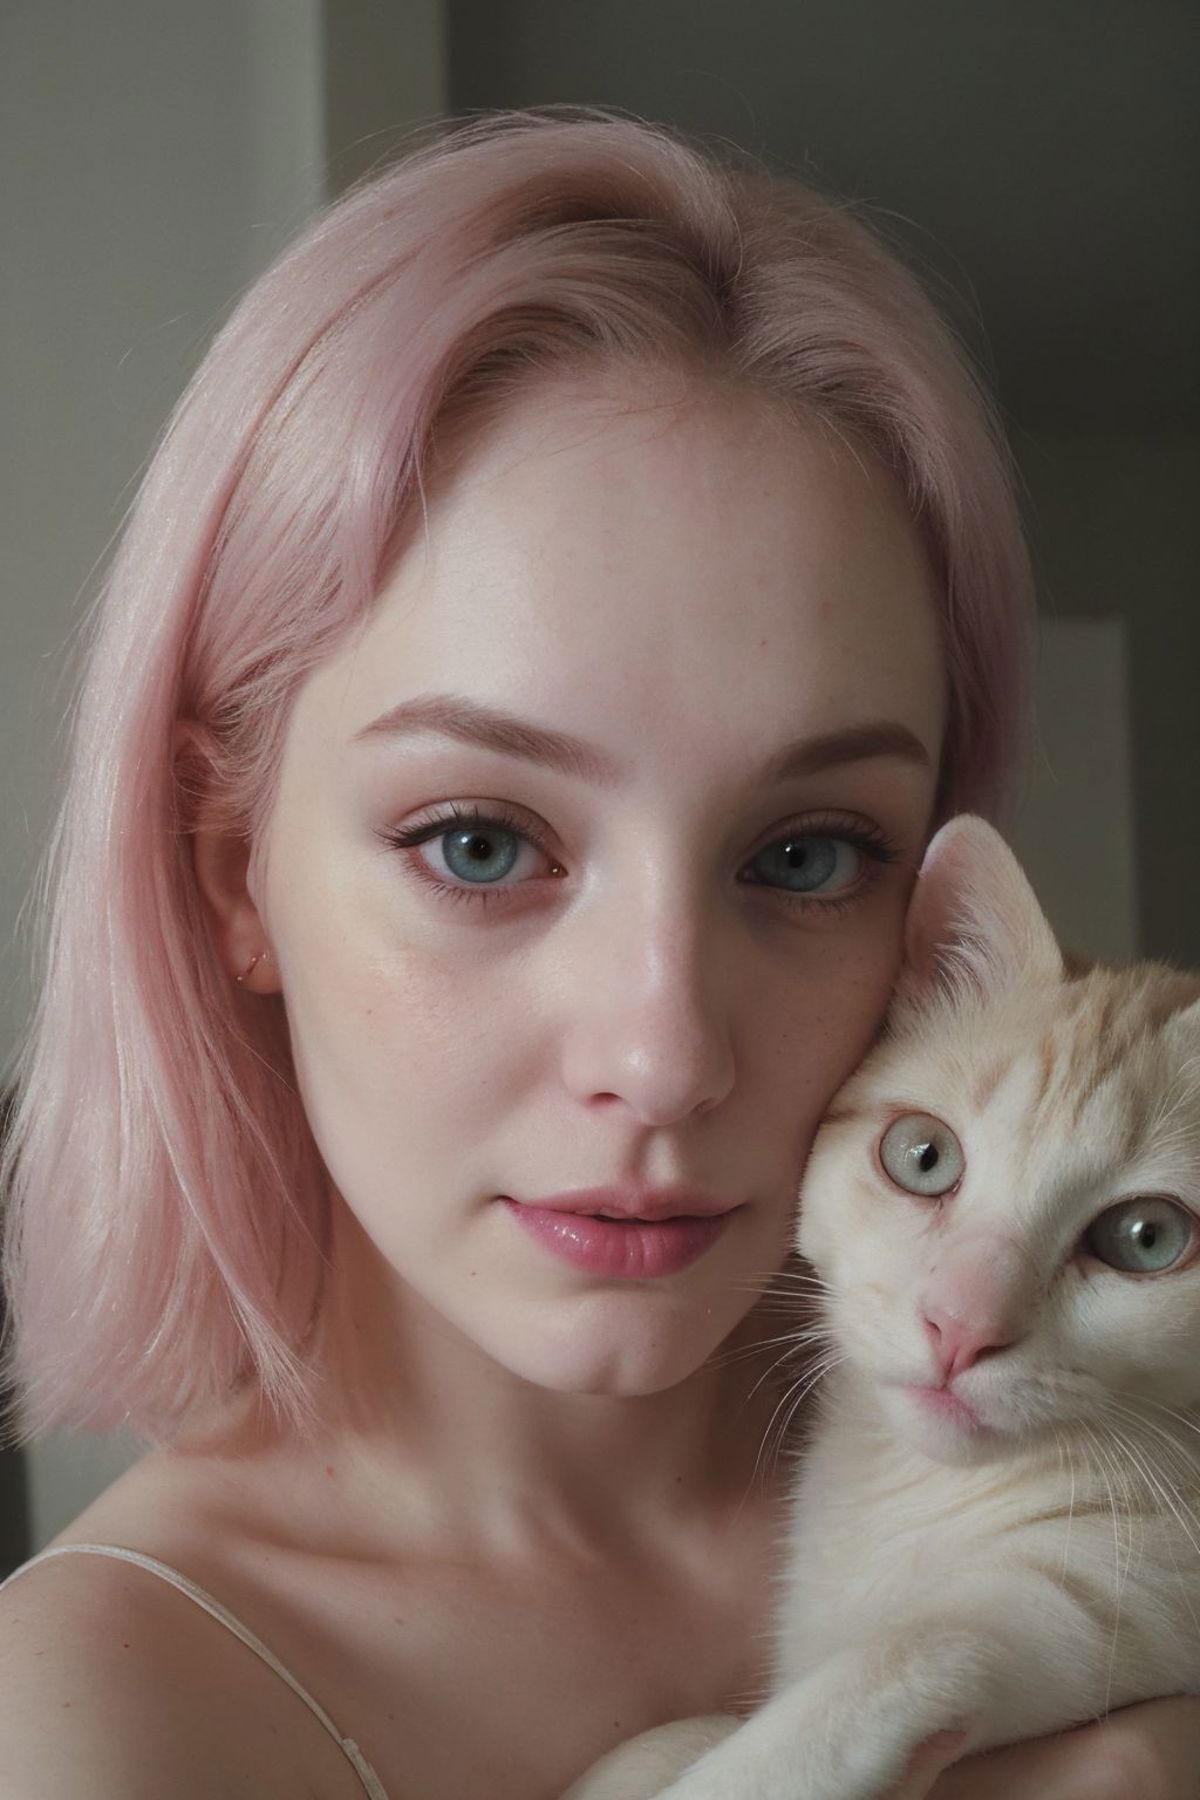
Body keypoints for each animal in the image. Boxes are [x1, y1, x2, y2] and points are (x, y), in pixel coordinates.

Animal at [564, 820, 1200, 1800]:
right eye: (923, 1156)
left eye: (1148, 1238)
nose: (960, 1328)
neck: (918, 1488)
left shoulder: (1140, 1604)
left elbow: (922, 1646)